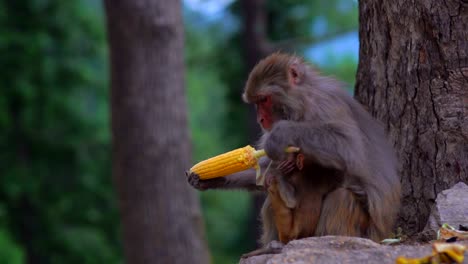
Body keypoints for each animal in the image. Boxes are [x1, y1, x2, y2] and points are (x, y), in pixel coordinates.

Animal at [186, 52, 402, 256]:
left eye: (264, 99)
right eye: (256, 102)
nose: (260, 119)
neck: (301, 101)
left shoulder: (324, 105)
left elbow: (347, 146)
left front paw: (282, 133)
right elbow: (266, 168)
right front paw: (213, 178)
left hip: (368, 232)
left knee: (341, 197)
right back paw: (274, 244)